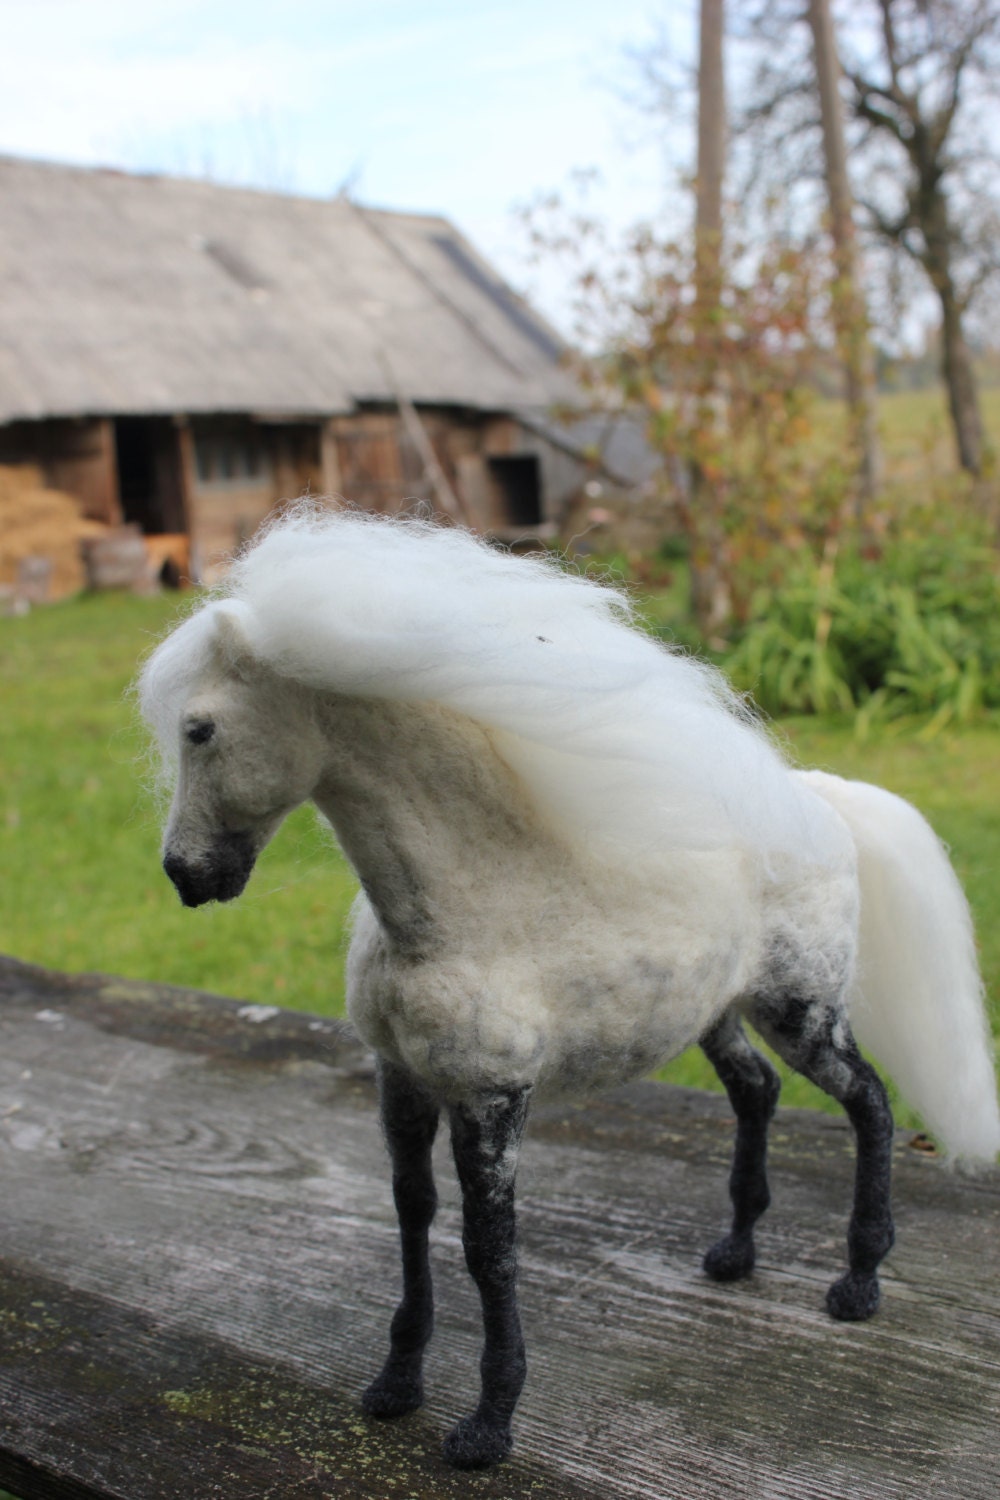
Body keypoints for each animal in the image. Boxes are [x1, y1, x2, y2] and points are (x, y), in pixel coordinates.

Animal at [140, 504, 1000, 1464]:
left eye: (200, 730)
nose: (187, 876)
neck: (470, 903)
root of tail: (824, 802)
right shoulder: (400, 1080)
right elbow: (411, 1213)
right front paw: (395, 1386)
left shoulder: (493, 1099)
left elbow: (488, 1248)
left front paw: (487, 1426)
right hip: (715, 1015)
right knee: (758, 1091)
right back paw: (734, 1253)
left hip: (802, 1010)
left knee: (871, 1104)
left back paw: (858, 1283)